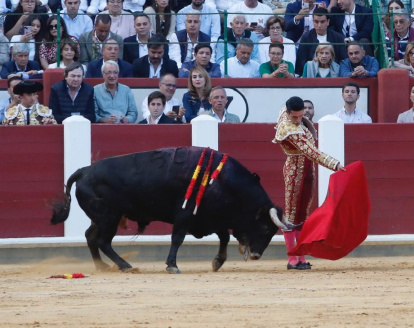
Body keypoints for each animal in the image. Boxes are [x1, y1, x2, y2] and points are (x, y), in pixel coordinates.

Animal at [50, 147, 284, 272]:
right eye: (266, 228)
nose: (256, 255)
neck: (221, 181)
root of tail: (84, 171)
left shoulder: (210, 218)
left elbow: (224, 237)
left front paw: (217, 262)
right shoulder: (185, 215)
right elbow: (177, 238)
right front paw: (172, 265)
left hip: (101, 218)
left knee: (90, 236)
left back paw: (102, 267)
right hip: (109, 217)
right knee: (102, 241)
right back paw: (125, 265)